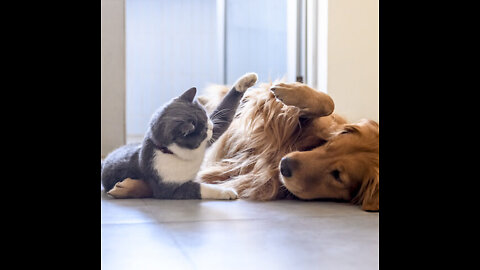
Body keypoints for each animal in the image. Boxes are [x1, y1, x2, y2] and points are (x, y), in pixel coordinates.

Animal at [101, 73, 256, 199]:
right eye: (203, 130)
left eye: (206, 116)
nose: (211, 126)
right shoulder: (169, 188)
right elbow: (198, 188)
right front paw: (226, 191)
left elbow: (224, 115)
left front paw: (246, 80)